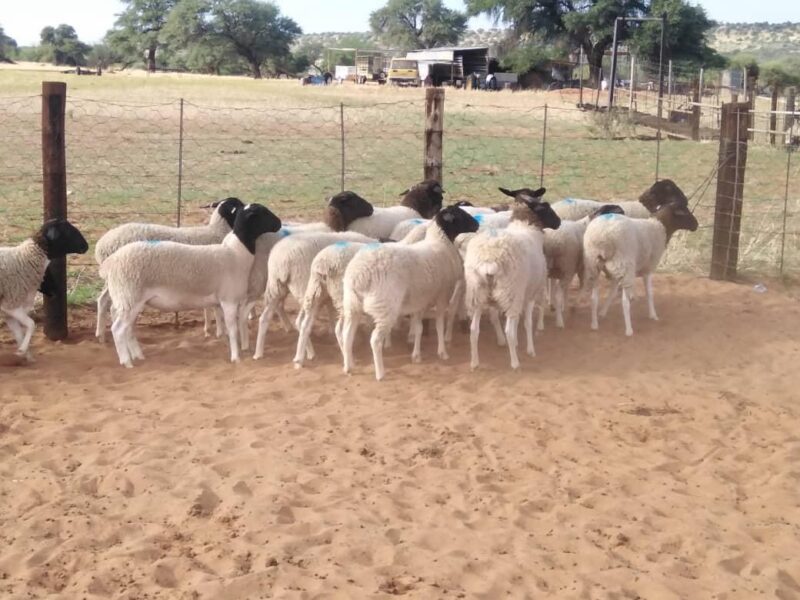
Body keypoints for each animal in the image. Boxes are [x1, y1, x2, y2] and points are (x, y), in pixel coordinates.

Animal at [0, 220, 89, 360]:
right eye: (67, 230)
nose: (86, 246)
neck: (24, 259)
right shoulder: (10, 304)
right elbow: (31, 324)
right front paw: (23, 351)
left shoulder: (9, 312)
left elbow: (19, 334)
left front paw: (25, 355)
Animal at [100, 204, 282, 368]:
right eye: (262, 212)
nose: (280, 223)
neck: (235, 254)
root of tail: (109, 263)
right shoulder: (228, 299)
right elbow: (233, 328)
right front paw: (236, 357)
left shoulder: (221, 301)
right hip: (130, 296)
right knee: (118, 329)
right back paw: (127, 362)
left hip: (128, 299)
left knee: (126, 327)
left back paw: (137, 355)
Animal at [340, 206, 478, 382]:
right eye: (459, 214)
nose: (477, 225)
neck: (441, 243)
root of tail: (359, 273)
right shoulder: (442, 295)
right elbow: (439, 325)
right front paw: (442, 352)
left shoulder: (420, 301)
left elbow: (419, 328)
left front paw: (416, 355)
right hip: (385, 307)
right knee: (375, 340)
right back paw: (380, 373)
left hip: (352, 305)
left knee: (347, 336)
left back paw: (348, 366)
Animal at [462, 198, 564, 370]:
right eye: (547, 208)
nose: (559, 222)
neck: (527, 227)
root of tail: (489, 261)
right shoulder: (529, 293)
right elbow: (527, 323)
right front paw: (530, 349)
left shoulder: (519, 295)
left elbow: (515, 322)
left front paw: (515, 343)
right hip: (509, 292)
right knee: (508, 330)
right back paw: (515, 363)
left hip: (477, 294)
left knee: (474, 330)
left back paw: (474, 362)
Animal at [580, 195, 700, 336]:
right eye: (685, 211)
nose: (696, 225)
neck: (659, 228)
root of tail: (602, 236)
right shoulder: (648, 268)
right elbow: (649, 293)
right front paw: (653, 315)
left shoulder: (616, 271)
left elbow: (612, 292)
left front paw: (603, 312)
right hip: (624, 263)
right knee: (625, 302)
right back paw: (629, 330)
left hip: (593, 264)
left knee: (594, 298)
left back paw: (594, 324)